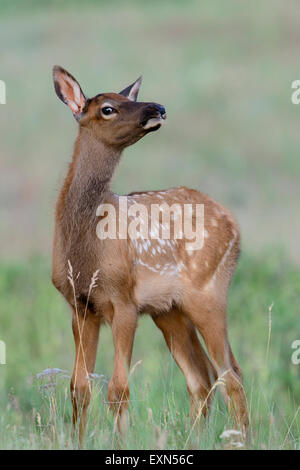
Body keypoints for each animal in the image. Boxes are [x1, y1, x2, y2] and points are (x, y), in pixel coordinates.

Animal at [51, 66, 248, 444]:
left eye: (129, 98)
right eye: (108, 108)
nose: (157, 107)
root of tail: (234, 225)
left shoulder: (124, 300)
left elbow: (118, 389)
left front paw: (120, 441)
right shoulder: (80, 306)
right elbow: (79, 387)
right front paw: (79, 441)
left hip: (209, 292)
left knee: (231, 374)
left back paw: (241, 440)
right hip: (169, 310)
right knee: (202, 379)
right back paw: (196, 439)